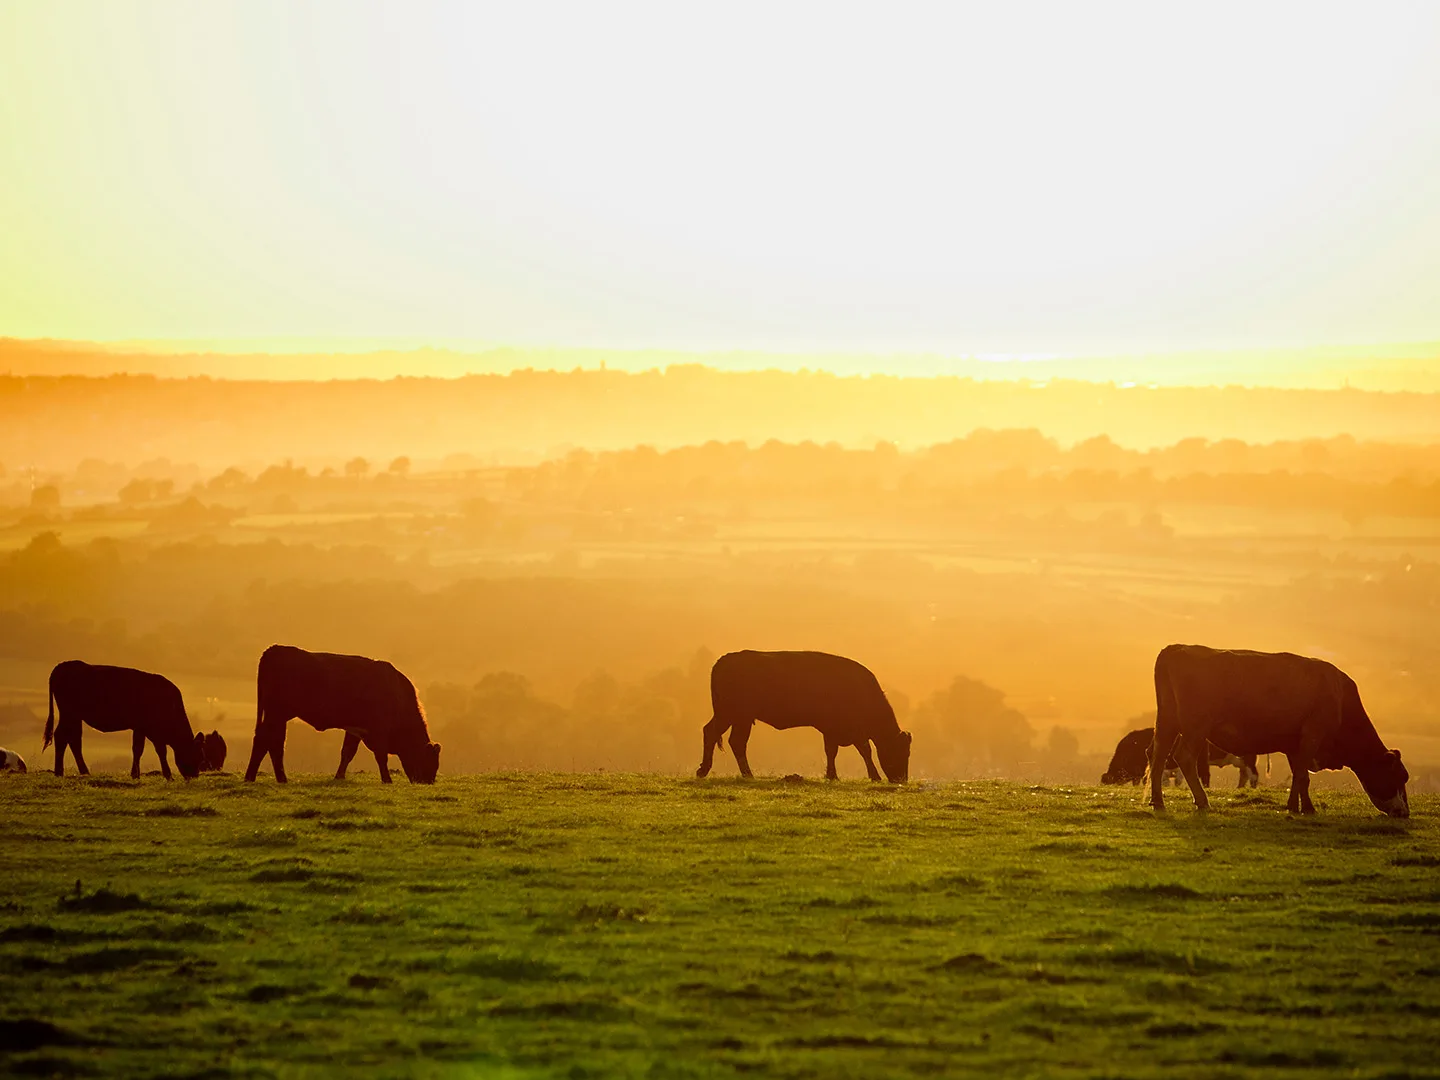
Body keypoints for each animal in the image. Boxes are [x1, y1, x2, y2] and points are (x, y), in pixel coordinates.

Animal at [42, 665, 203, 783]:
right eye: (196, 754)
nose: (194, 775)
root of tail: (63, 665)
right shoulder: (148, 728)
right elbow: (152, 750)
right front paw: (167, 775)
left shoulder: (143, 729)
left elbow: (140, 749)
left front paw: (135, 774)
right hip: (69, 713)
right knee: (63, 737)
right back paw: (61, 772)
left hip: (74, 716)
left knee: (72, 739)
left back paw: (81, 772)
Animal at [241, 642, 437, 789]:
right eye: (429, 761)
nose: (428, 782)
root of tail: (274, 649)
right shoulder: (379, 729)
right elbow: (381, 756)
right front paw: (387, 780)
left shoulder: (355, 729)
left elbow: (347, 753)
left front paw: (339, 776)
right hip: (276, 713)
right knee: (267, 741)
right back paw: (260, 777)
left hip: (277, 716)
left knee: (271, 742)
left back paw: (271, 778)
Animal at [696, 650, 910, 789]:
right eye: (901, 752)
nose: (902, 779)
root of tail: (723, 660)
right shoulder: (849, 730)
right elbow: (865, 750)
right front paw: (875, 777)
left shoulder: (832, 730)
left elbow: (831, 751)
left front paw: (832, 776)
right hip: (733, 715)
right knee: (722, 736)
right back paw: (723, 772)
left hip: (739, 718)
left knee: (729, 739)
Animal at [1152, 648, 1411, 817]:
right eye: (1399, 776)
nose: (1405, 812)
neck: (1340, 698)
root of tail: (1177, 648)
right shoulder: (1312, 734)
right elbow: (1303, 775)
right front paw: (1307, 808)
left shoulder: (1294, 743)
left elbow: (1298, 774)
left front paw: (1295, 806)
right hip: (1196, 726)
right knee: (1184, 757)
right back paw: (1202, 801)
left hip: (1167, 721)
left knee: (1158, 756)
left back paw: (1158, 801)